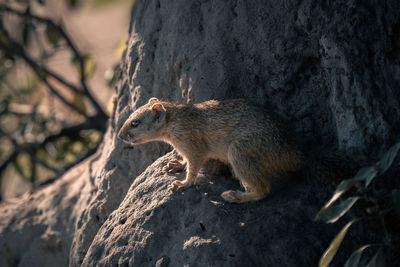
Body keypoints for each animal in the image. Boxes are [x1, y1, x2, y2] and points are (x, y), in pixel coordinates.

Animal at [117, 97, 304, 204]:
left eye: (135, 123)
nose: (119, 135)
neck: (175, 120)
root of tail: (293, 152)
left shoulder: (193, 146)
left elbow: (193, 168)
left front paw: (183, 184)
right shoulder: (186, 148)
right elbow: (186, 162)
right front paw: (176, 165)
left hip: (239, 153)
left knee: (263, 190)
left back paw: (234, 196)